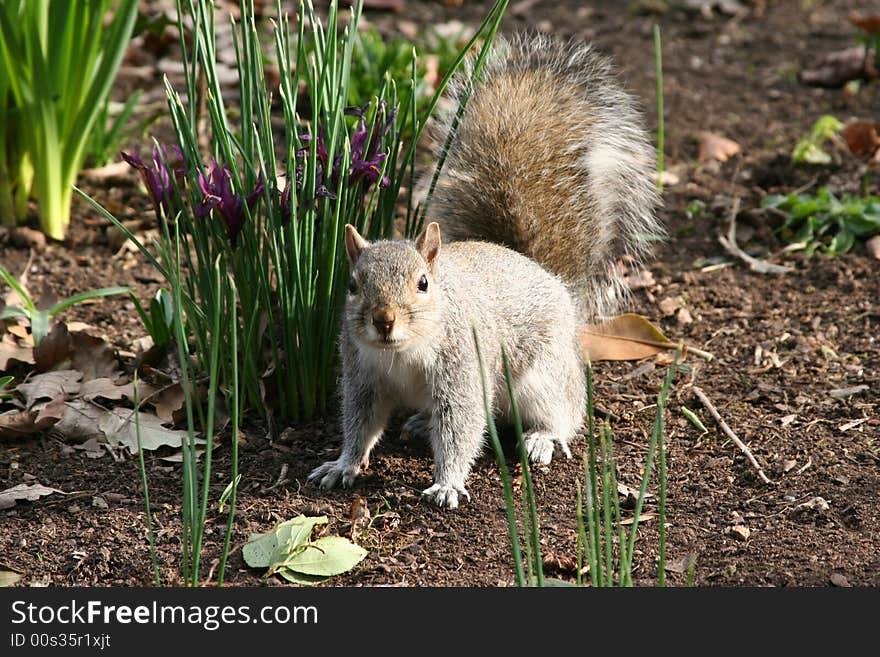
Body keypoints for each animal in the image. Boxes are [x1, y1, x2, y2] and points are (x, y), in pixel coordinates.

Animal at [310, 34, 660, 508]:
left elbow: (461, 427)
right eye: (352, 284)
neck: (400, 352)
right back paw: (420, 423)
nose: (383, 320)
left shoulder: (462, 369)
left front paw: (447, 483)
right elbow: (360, 423)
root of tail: (548, 276)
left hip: (543, 374)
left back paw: (542, 438)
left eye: (423, 283)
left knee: (563, 411)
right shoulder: (362, 375)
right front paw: (343, 464)